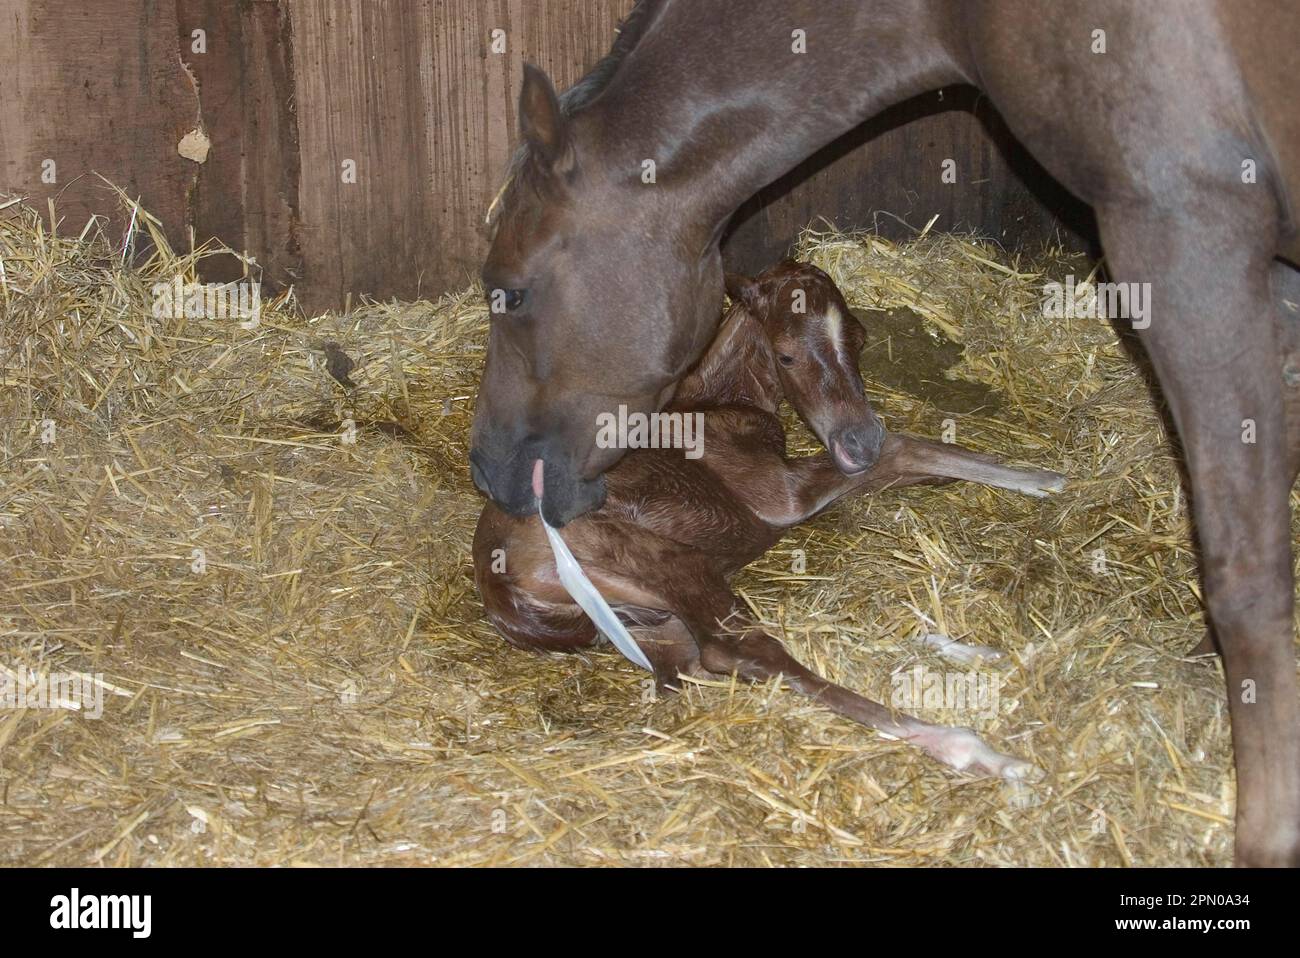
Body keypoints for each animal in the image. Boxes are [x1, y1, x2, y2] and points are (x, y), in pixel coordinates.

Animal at [474, 259, 1065, 777]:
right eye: (786, 356)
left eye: (860, 338)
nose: (859, 441)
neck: (714, 404)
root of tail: (500, 586)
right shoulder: (783, 495)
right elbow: (903, 450)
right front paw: (1048, 480)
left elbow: (898, 468)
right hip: (667, 564)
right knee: (741, 651)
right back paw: (976, 749)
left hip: (652, 621)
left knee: (701, 665)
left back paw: (968, 649)